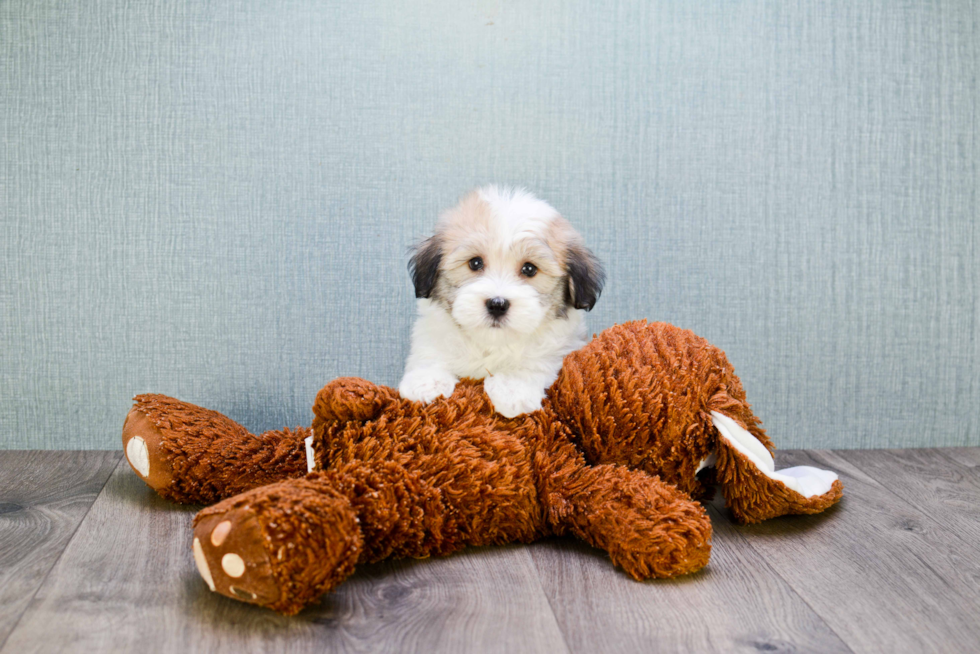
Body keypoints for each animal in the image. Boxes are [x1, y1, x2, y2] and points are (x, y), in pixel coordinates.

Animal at [400, 187, 604, 418]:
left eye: (529, 269)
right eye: (475, 263)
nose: (497, 304)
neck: (492, 343)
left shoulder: (560, 346)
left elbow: (534, 361)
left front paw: (514, 390)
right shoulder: (433, 332)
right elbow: (431, 352)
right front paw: (426, 382)